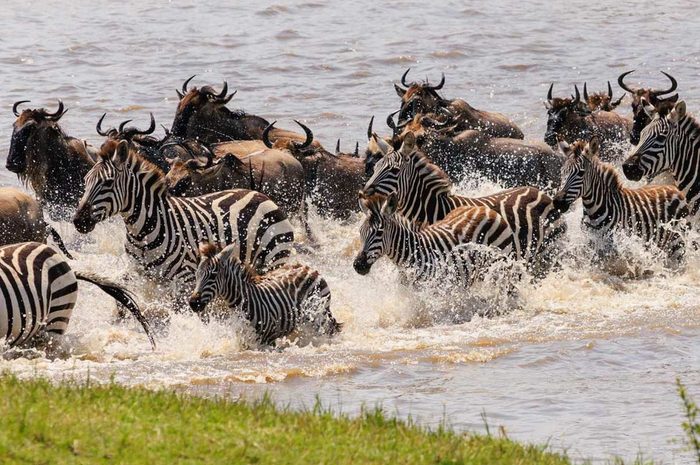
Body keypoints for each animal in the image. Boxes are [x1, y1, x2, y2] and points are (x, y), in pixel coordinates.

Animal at [73, 140, 294, 285]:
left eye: (108, 183)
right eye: (85, 180)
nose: (78, 220)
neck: (142, 233)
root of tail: (260, 195)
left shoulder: (185, 279)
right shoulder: (140, 277)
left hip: (274, 259)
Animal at [189, 242, 342, 346]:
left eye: (213, 276)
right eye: (196, 275)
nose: (193, 303)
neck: (244, 301)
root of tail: (307, 268)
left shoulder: (266, 341)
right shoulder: (246, 341)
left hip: (320, 316)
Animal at [353, 191, 515, 284]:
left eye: (379, 232)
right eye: (361, 232)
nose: (358, 265)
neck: (411, 253)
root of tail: (484, 209)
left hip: (501, 265)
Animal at [363, 132, 565, 271]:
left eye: (394, 170)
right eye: (376, 167)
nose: (364, 193)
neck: (435, 210)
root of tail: (539, 192)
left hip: (548, 251)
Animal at [555, 136, 688, 266]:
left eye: (581, 173)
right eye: (562, 172)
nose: (557, 202)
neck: (594, 211)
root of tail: (673, 188)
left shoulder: (615, 246)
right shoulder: (593, 243)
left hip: (677, 243)